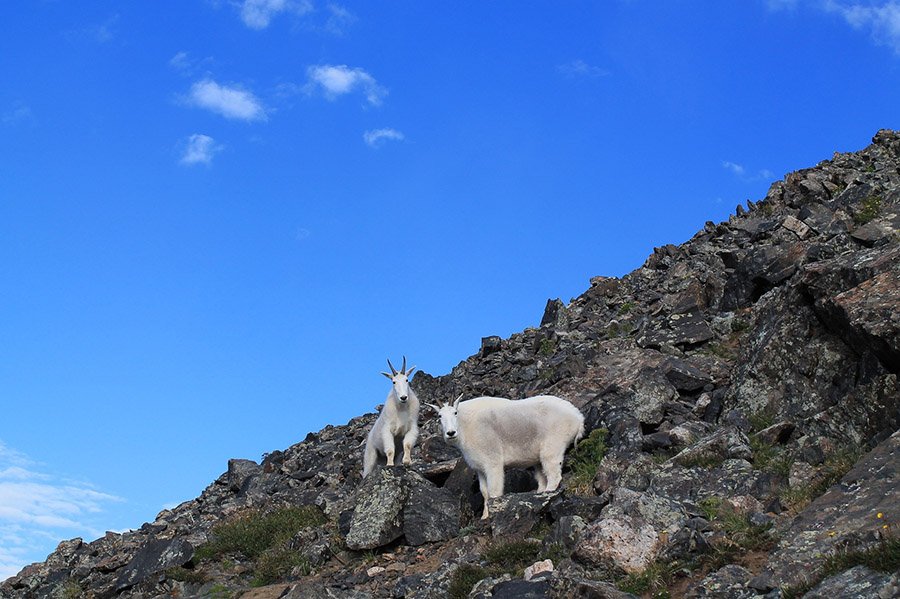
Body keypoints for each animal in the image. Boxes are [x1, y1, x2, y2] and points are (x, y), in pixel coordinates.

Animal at [428, 394, 584, 518]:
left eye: (455, 412)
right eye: (439, 416)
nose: (450, 433)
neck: (466, 426)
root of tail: (578, 417)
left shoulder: (493, 462)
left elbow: (494, 491)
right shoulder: (480, 468)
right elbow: (484, 492)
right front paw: (484, 517)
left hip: (552, 448)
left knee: (554, 476)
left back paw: (546, 495)